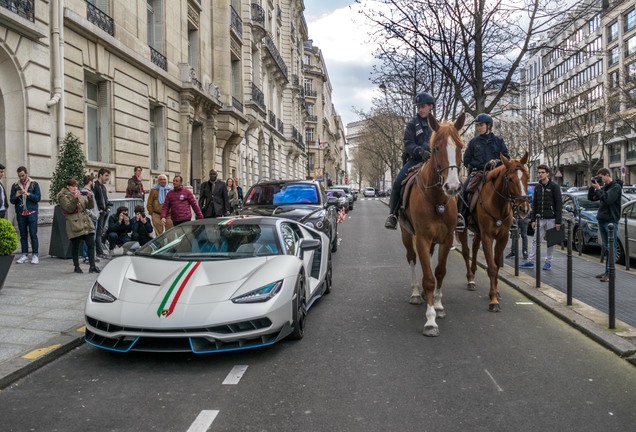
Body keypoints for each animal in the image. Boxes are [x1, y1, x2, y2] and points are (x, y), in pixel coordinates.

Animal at [400, 112, 464, 338]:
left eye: (461, 146)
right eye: (436, 148)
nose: (452, 187)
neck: (437, 200)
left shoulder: (446, 239)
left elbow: (439, 272)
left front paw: (437, 305)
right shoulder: (422, 238)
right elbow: (428, 278)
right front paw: (430, 320)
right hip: (407, 235)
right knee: (412, 259)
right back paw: (415, 293)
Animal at [458, 154, 532, 312]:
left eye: (527, 176)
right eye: (510, 179)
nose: (524, 208)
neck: (498, 204)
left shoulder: (502, 237)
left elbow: (497, 266)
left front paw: (496, 292)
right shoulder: (487, 236)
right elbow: (491, 267)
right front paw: (493, 300)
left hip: (478, 231)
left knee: (474, 247)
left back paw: (473, 270)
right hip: (464, 229)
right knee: (466, 251)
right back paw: (470, 279)